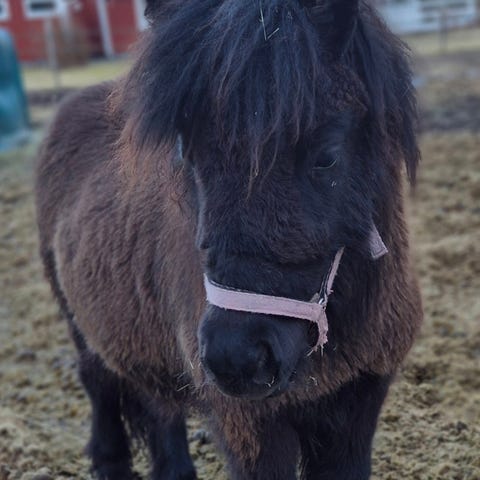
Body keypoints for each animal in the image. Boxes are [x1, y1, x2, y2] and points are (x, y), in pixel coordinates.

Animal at [35, 0, 423, 478]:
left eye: (326, 156)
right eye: (188, 153)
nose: (235, 358)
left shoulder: (358, 406)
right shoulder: (250, 426)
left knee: (160, 411)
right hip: (78, 323)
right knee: (98, 380)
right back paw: (109, 462)